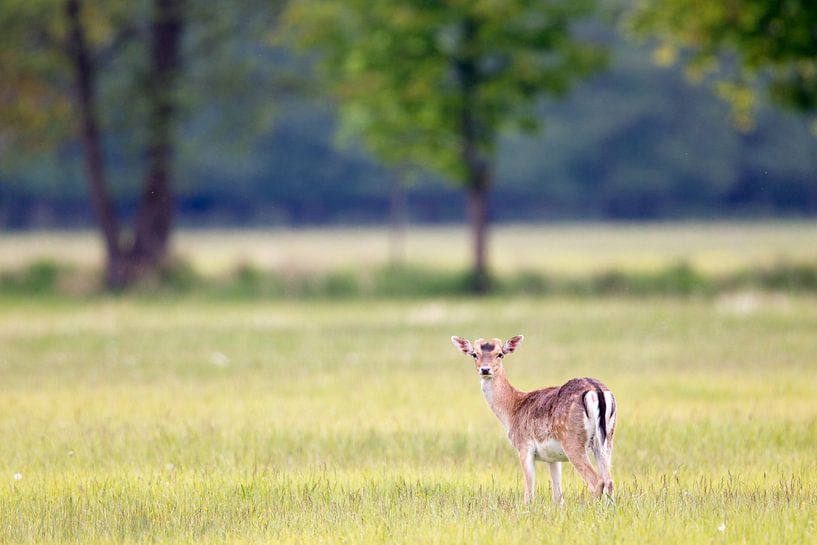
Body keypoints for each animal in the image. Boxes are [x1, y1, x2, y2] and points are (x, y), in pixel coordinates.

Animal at [450, 334, 616, 504]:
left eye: (500, 354)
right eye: (474, 354)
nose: (485, 369)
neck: (512, 410)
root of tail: (597, 391)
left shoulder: (524, 447)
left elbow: (529, 494)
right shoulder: (552, 458)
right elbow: (558, 497)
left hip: (572, 441)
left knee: (597, 481)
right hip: (606, 440)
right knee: (609, 480)